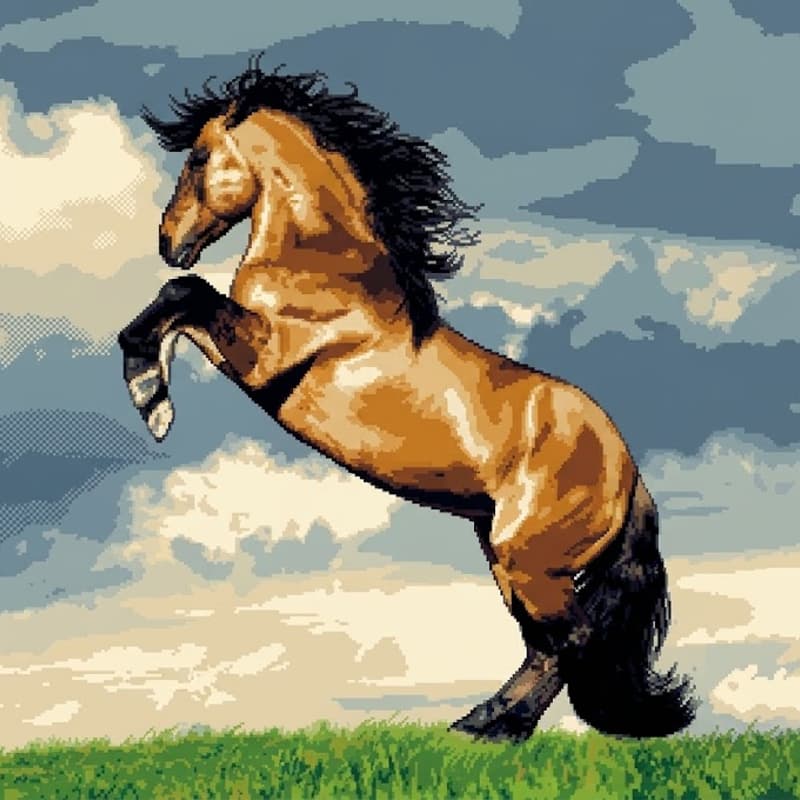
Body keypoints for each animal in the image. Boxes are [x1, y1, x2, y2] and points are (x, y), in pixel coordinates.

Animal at [118, 63, 697, 742]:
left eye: (199, 158)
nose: (168, 240)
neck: (326, 262)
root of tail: (629, 474)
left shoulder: (265, 355)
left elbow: (185, 294)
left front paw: (149, 396)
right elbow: (180, 305)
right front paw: (152, 386)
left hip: (529, 561)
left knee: (569, 643)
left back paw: (499, 730)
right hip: (509, 559)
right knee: (544, 646)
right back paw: (477, 724)